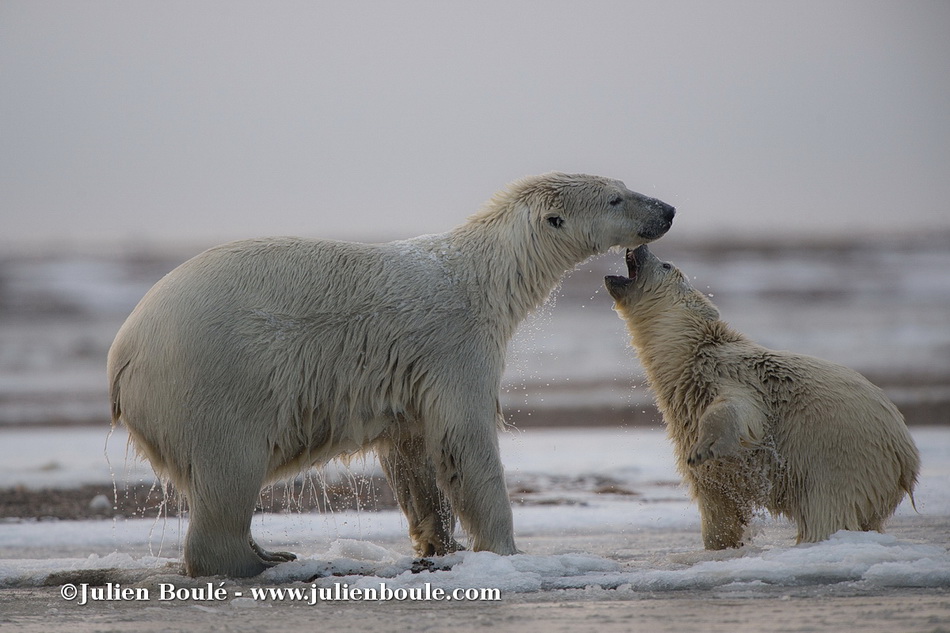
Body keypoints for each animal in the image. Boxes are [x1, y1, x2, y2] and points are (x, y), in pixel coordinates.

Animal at [109, 170, 676, 576]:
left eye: (624, 186)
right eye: (616, 198)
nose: (668, 209)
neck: (484, 276)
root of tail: (124, 353)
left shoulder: (410, 375)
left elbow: (413, 454)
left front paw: (440, 544)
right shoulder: (454, 343)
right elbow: (465, 441)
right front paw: (505, 550)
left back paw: (270, 553)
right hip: (215, 379)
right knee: (229, 471)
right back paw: (258, 560)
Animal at [608, 246, 920, 548]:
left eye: (666, 265)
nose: (640, 247)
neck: (688, 356)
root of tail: (906, 458)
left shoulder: (728, 374)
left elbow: (738, 410)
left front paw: (703, 448)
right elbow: (719, 512)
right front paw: (722, 544)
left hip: (844, 460)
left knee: (827, 509)